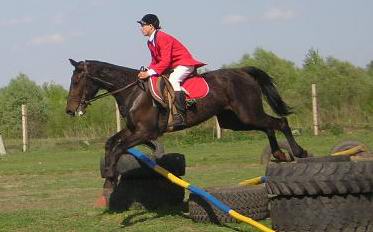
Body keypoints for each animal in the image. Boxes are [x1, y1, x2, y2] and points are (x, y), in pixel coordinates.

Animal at [65, 59, 306, 204]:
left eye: (77, 80)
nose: (69, 110)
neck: (134, 92)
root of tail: (242, 72)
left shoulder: (144, 133)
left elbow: (117, 148)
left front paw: (109, 178)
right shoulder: (133, 130)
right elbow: (110, 143)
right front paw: (108, 177)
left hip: (247, 113)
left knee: (280, 122)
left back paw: (298, 152)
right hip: (235, 120)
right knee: (268, 126)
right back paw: (280, 154)